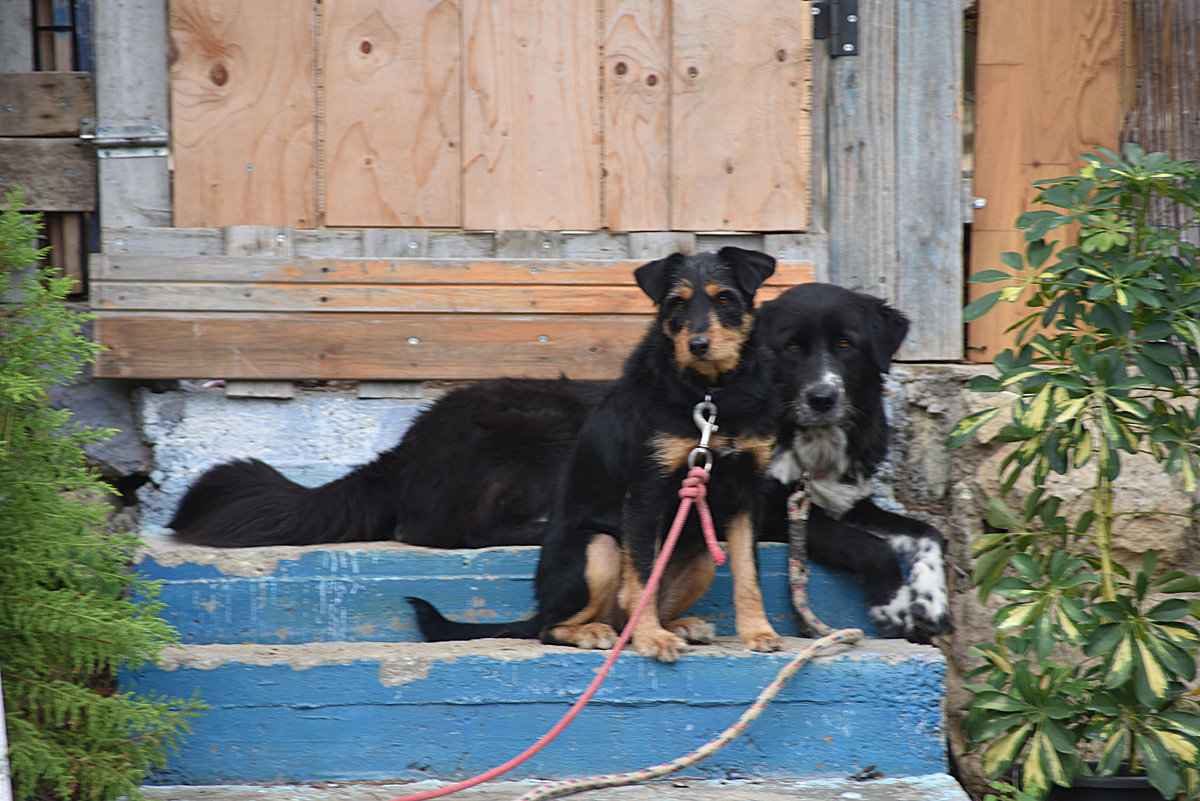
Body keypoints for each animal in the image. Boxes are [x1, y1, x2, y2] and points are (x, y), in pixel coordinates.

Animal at [408, 247, 782, 661]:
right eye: (677, 303)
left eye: (725, 298)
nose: (697, 345)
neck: (711, 396)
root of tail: (541, 609)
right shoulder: (646, 493)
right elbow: (643, 575)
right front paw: (652, 640)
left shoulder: (748, 494)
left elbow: (748, 574)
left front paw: (758, 631)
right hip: (599, 547)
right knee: (554, 628)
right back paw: (598, 632)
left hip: (702, 559)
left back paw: (677, 626)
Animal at [758, 284, 945, 642]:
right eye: (792, 346)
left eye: (845, 344)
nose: (822, 399)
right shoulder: (771, 514)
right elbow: (869, 545)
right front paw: (893, 606)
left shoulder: (852, 504)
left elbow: (929, 531)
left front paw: (932, 599)